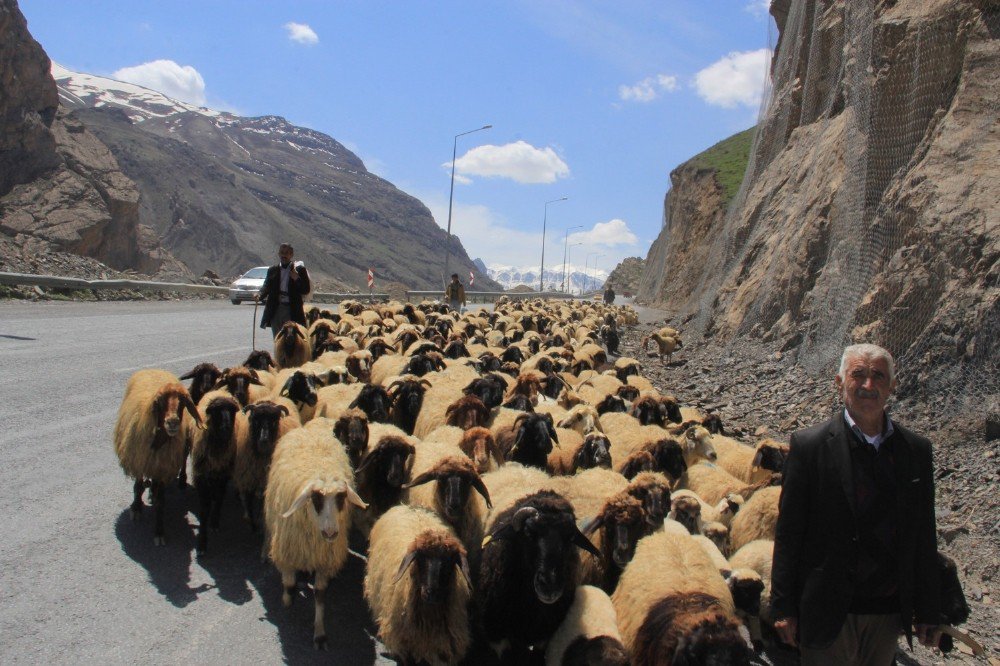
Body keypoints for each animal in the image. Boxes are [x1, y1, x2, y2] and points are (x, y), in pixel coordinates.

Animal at [114, 368, 202, 544]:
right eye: (160, 401)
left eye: (183, 401)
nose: (173, 422)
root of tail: (153, 369)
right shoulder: (140, 461)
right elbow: (138, 486)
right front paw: (136, 508)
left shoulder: (163, 468)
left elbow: (161, 502)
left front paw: (159, 531)